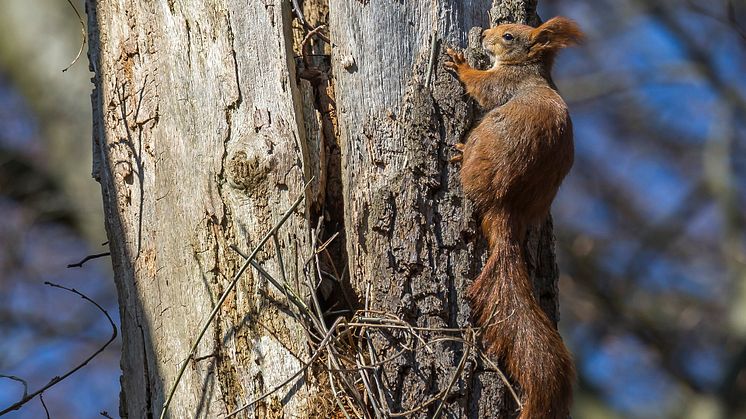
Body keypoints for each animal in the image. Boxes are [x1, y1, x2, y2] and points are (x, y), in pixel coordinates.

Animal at [442, 16, 580, 419]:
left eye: (507, 36)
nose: (484, 35)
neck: (530, 68)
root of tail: (507, 207)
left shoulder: (504, 84)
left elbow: (483, 88)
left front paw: (460, 64)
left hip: (486, 141)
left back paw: (459, 152)